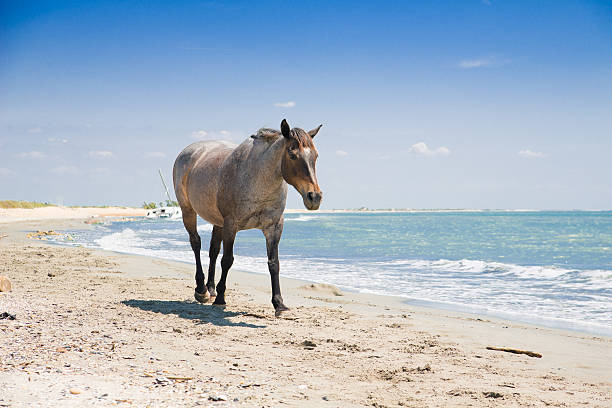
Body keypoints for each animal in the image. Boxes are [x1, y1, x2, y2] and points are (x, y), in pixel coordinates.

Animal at [172, 118, 322, 316]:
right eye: (292, 154)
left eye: (315, 156)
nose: (314, 197)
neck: (257, 178)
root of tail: (189, 151)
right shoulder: (231, 225)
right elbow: (227, 260)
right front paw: (221, 299)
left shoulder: (274, 227)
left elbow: (274, 263)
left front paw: (279, 304)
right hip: (188, 211)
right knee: (196, 243)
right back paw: (202, 291)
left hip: (217, 221)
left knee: (213, 250)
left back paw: (210, 289)